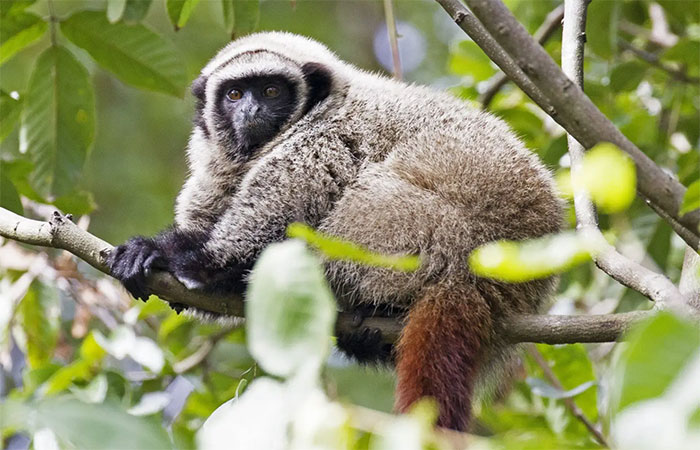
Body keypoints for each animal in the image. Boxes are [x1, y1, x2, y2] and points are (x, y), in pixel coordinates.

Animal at [108, 32, 563, 432]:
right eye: (234, 94)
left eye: (271, 91)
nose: (250, 111)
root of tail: (486, 271)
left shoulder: (322, 141)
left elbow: (261, 238)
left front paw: (171, 256)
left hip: (430, 231)